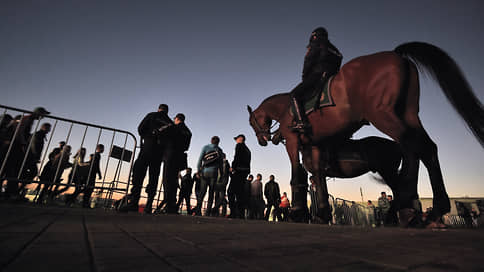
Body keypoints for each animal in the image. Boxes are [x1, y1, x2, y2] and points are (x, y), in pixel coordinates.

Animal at [248, 41, 482, 226]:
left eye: (252, 123)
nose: (263, 140)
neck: (285, 108)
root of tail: (396, 54)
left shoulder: (293, 141)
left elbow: (297, 176)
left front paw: (298, 213)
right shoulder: (315, 145)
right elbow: (319, 181)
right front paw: (321, 214)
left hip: (383, 115)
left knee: (412, 147)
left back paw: (407, 207)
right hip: (409, 115)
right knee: (426, 149)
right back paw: (431, 209)